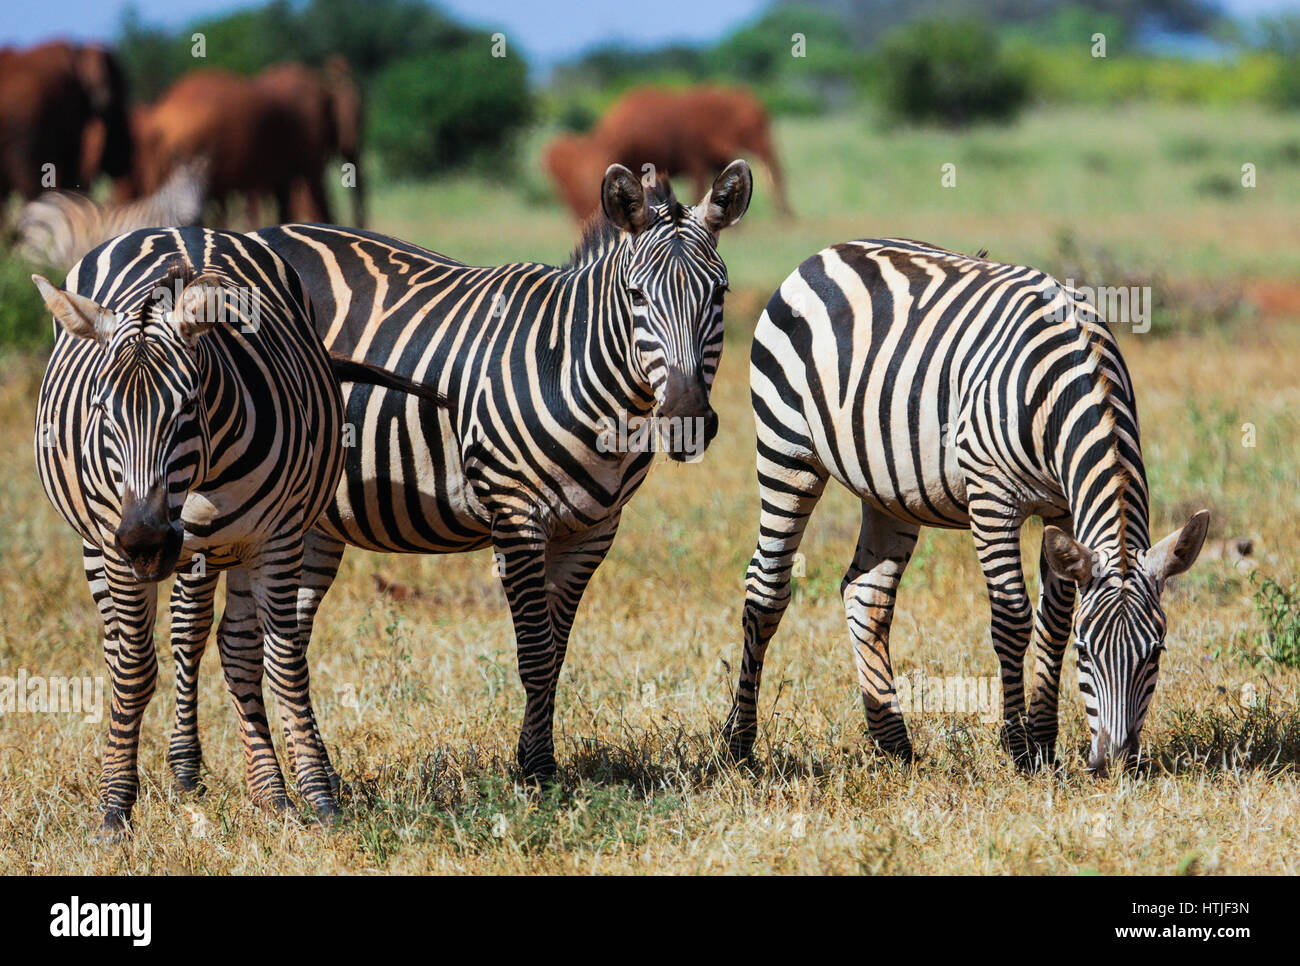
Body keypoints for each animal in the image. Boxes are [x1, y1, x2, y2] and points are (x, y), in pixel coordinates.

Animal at [34, 224, 351, 832]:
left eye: (188, 406)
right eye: (102, 412)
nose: (146, 543)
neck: (199, 481)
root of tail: (180, 227)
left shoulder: (277, 539)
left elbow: (282, 662)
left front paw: (317, 798)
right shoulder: (115, 543)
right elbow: (134, 667)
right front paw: (115, 806)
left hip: (230, 549)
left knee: (232, 646)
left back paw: (264, 788)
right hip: (99, 545)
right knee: (125, 646)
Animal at [153, 158, 759, 780]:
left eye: (720, 293)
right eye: (636, 295)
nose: (685, 417)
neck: (574, 367)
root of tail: (239, 240)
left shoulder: (592, 531)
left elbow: (556, 652)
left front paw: (536, 758)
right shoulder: (515, 517)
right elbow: (535, 654)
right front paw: (536, 773)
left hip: (299, 516)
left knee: (267, 638)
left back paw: (308, 771)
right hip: (208, 498)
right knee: (189, 623)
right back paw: (187, 769)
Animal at [728, 237, 1211, 774]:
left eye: (1157, 653)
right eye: (1086, 653)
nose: (1114, 763)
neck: (1068, 384)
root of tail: (827, 251)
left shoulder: (1062, 509)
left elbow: (1053, 621)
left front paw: (1045, 741)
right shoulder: (991, 497)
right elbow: (1014, 618)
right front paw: (1019, 749)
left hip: (889, 490)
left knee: (866, 595)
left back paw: (894, 744)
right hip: (786, 449)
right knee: (766, 586)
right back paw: (739, 744)